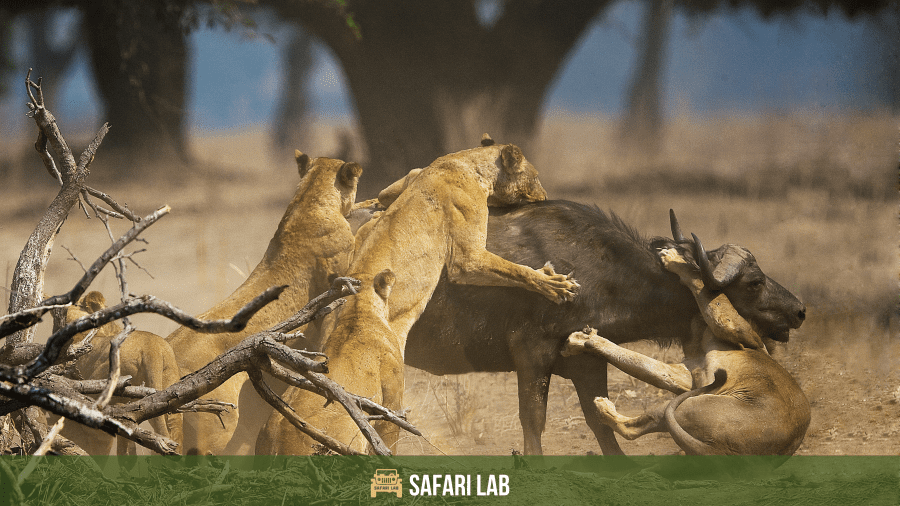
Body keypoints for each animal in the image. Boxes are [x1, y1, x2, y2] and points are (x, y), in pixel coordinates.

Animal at [260, 135, 579, 454]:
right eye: (535, 176)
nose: (545, 195)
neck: (467, 162)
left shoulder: (413, 174)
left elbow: (385, 195)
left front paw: (370, 207)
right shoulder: (467, 258)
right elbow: (516, 270)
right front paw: (555, 285)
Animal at [562, 246, 810, 455]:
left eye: (756, 282)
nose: (800, 312)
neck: (698, 328)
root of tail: (724, 452)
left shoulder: (739, 332)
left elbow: (705, 289)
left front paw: (673, 258)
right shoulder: (687, 372)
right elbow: (640, 362)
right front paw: (582, 340)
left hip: (689, 404)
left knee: (632, 429)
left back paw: (602, 405)